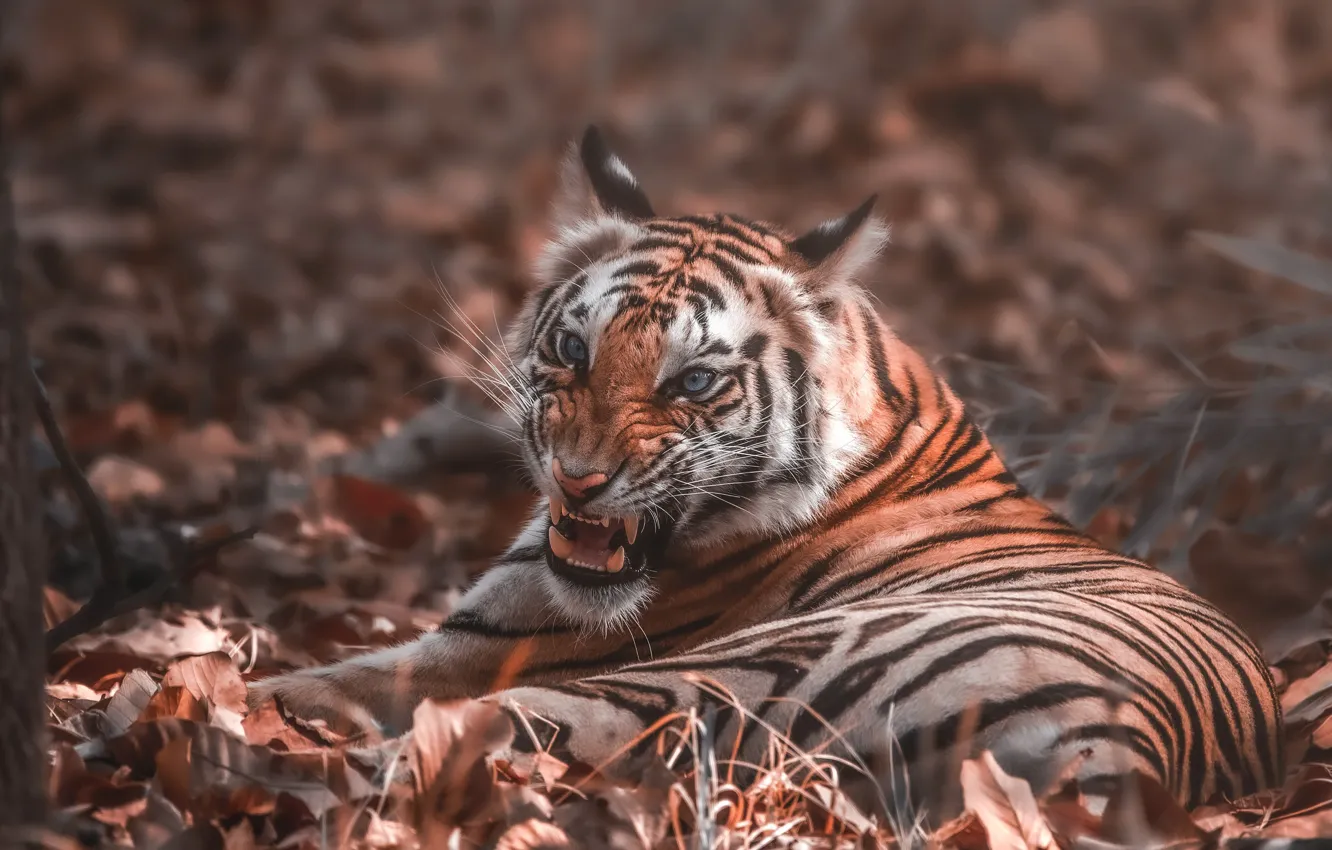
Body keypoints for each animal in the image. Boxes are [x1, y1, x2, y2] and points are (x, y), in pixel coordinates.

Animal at [251, 126, 1283, 821]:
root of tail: (1125, 752)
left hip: (717, 674)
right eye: (574, 349)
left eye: (694, 381)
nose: (576, 482)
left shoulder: (494, 648)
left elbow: (315, 682)